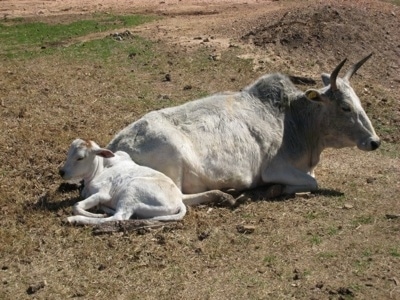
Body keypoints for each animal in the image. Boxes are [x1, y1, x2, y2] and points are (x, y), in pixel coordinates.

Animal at [107, 54, 382, 204]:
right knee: (180, 197)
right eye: (345, 107)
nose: (375, 142)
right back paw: (223, 195)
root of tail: (115, 145)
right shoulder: (274, 168)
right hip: (172, 162)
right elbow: (311, 183)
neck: (294, 120)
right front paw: (274, 190)